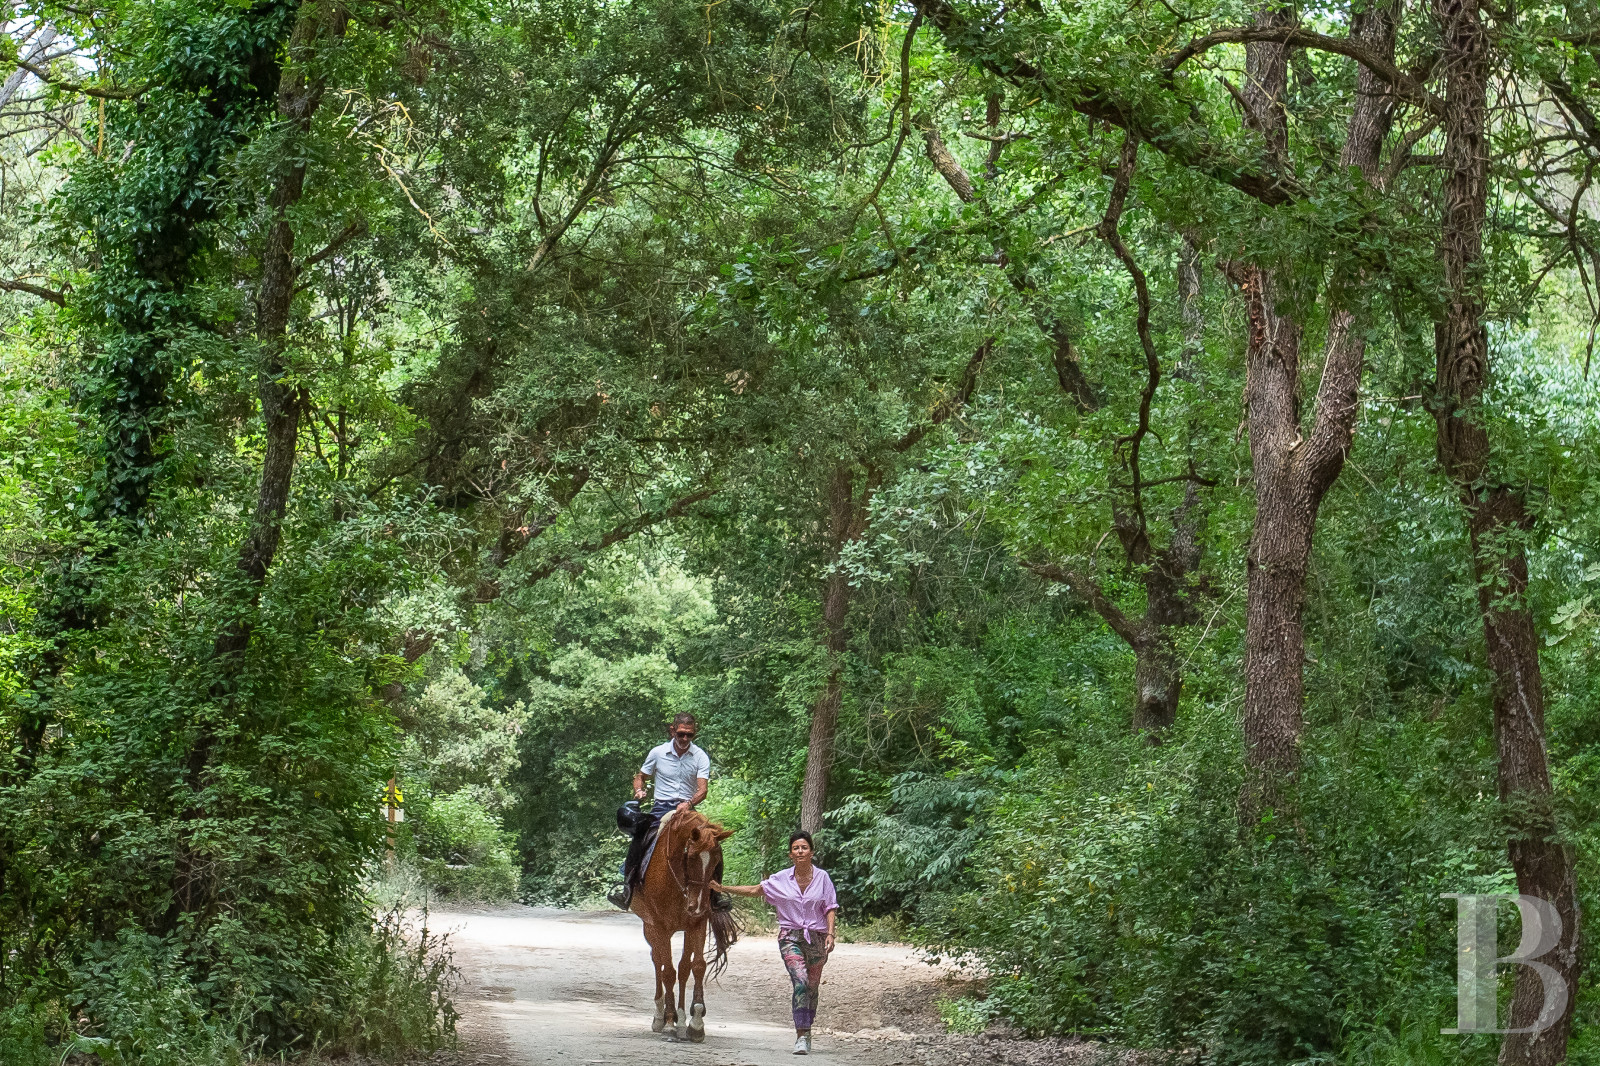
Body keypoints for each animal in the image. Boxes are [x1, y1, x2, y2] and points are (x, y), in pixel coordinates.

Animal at [630, 807, 738, 1041]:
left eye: (717, 860)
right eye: (690, 857)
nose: (698, 904)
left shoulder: (696, 924)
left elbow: (694, 967)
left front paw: (695, 1023)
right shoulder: (660, 927)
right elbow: (668, 972)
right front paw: (670, 1022)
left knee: (680, 967)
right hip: (650, 928)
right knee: (658, 962)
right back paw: (660, 1017)